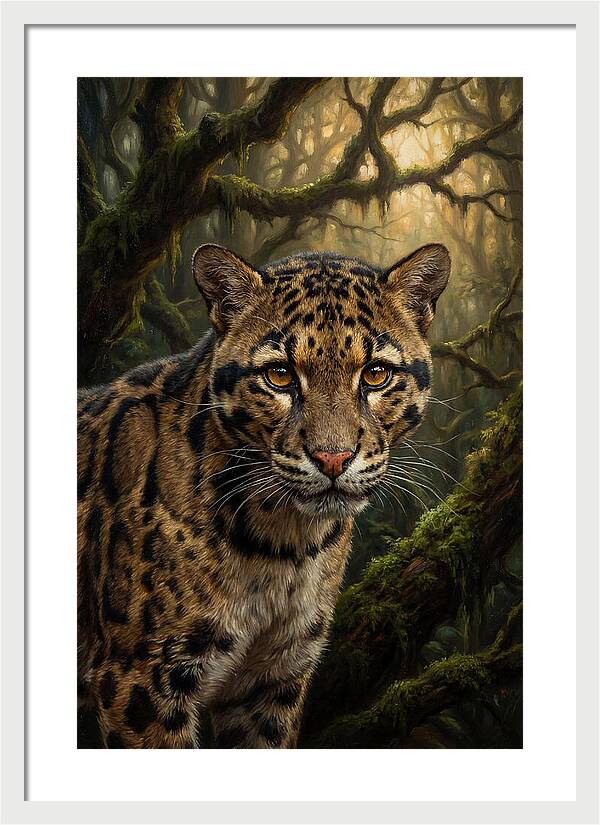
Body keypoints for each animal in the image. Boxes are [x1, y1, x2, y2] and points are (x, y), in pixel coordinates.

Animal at [77, 242, 450, 748]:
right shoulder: (140, 678)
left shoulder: (274, 678)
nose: (333, 458)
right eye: (279, 376)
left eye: (375, 375)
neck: (283, 543)